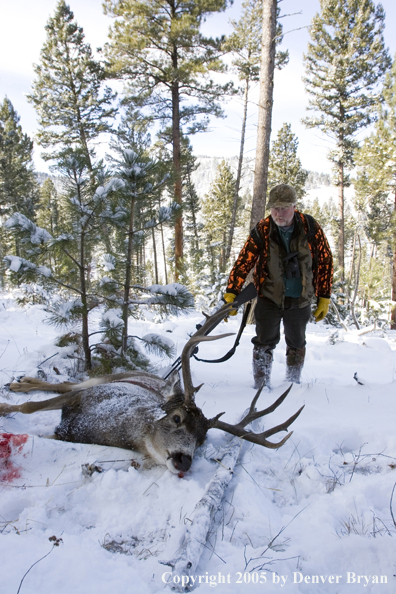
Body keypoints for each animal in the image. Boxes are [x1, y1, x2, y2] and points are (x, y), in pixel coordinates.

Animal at [0, 302, 304, 474]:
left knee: (62, 385)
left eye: (202, 441)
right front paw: (4, 407)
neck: (102, 427)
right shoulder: (84, 396)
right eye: (177, 418)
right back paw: (20, 383)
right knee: (64, 384)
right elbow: (29, 408)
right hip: (102, 379)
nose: (184, 461)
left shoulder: (65, 434)